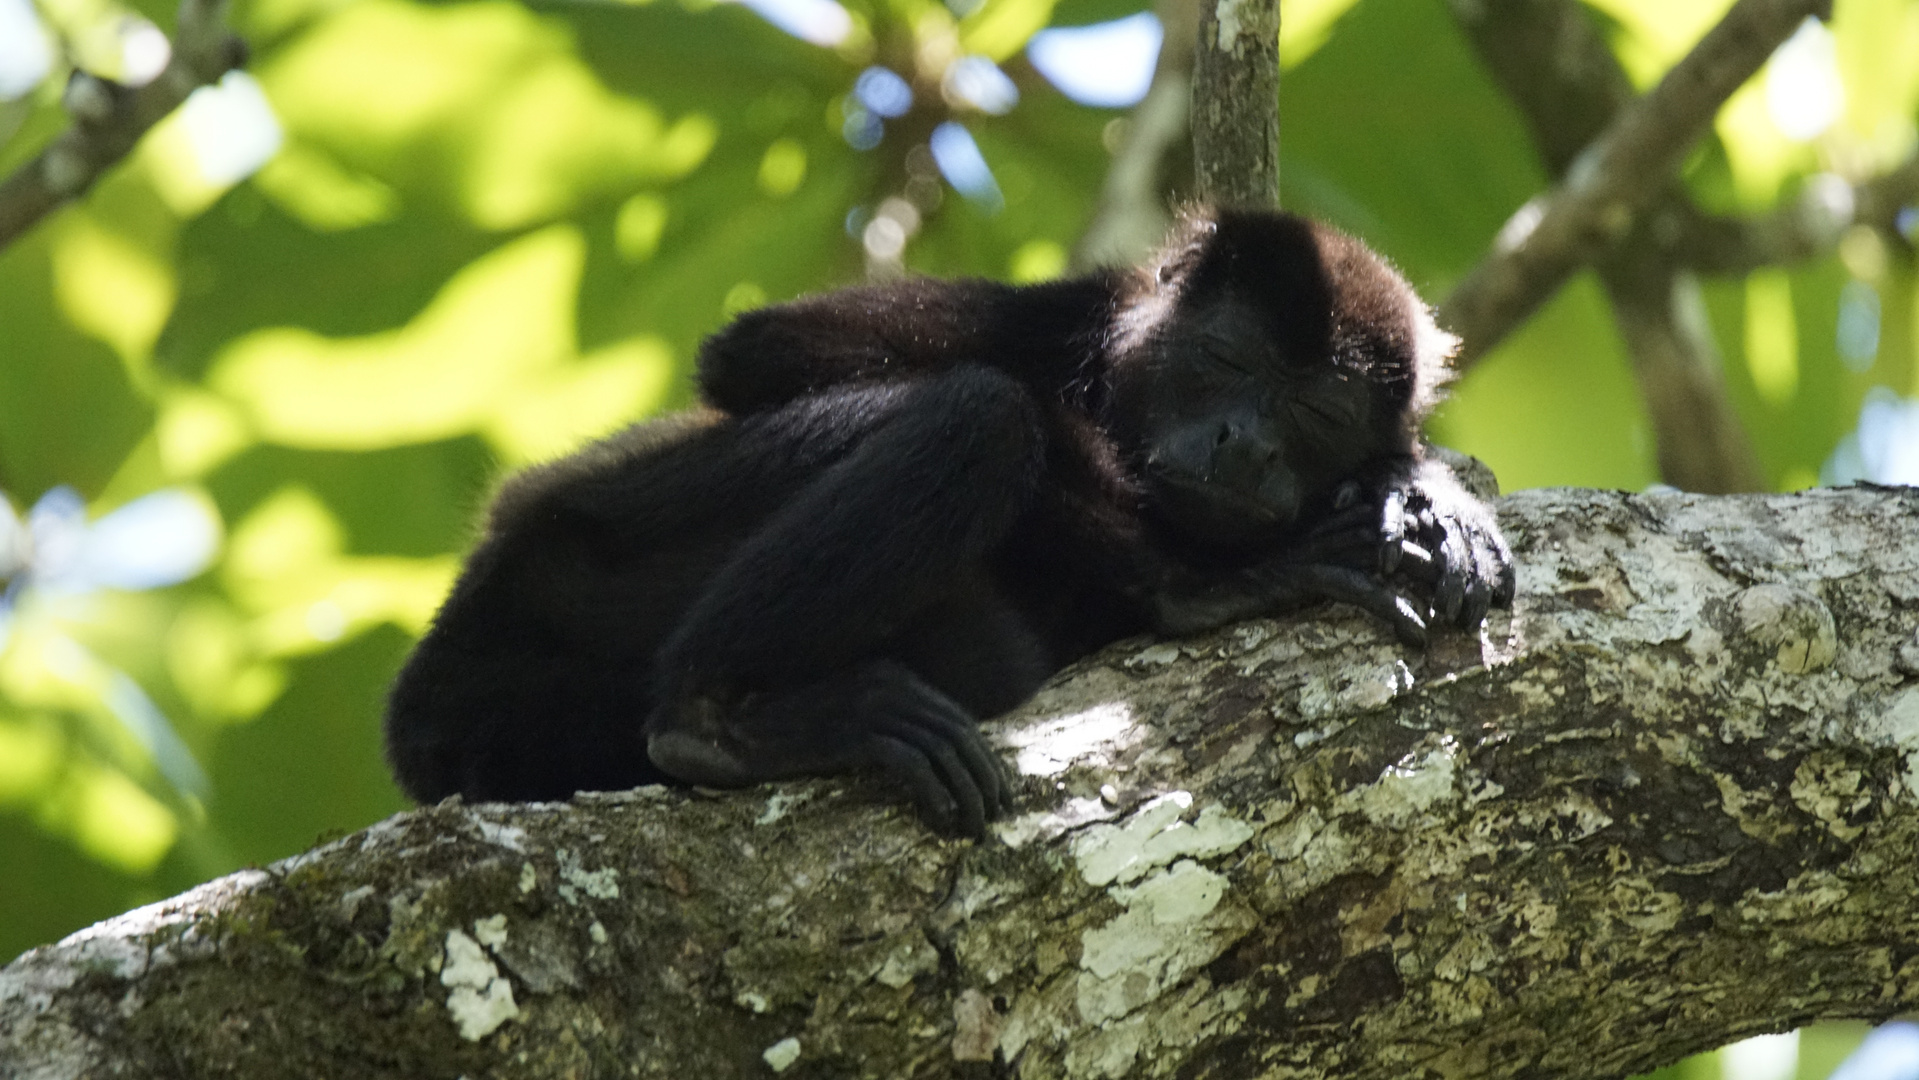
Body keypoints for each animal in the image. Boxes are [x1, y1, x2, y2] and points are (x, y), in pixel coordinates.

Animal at [378, 209, 1512, 836]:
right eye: (1228, 360)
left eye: (1315, 416)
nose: (1245, 447)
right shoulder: (1062, 309)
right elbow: (757, 356)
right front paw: (1210, 579)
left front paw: (1417, 488)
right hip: (595, 550)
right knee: (982, 414)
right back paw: (713, 720)